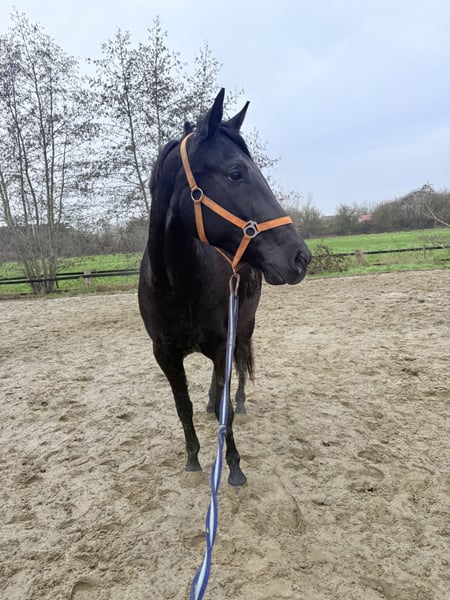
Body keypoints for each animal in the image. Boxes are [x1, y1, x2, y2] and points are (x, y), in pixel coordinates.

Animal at [138, 88, 311, 486]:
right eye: (236, 173)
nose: (301, 257)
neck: (177, 283)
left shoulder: (222, 343)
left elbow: (226, 408)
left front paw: (233, 465)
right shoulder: (164, 355)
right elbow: (183, 406)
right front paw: (193, 458)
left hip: (244, 326)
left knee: (240, 371)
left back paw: (243, 401)